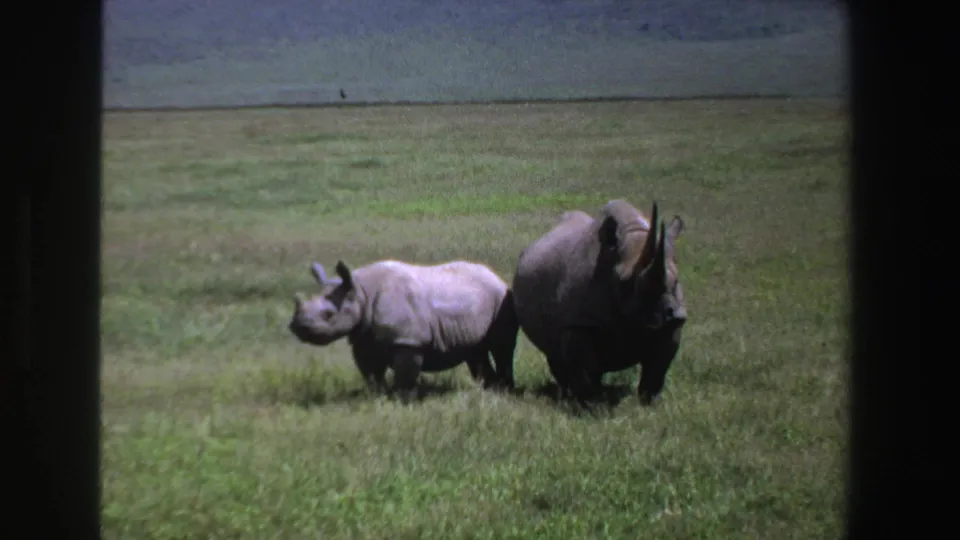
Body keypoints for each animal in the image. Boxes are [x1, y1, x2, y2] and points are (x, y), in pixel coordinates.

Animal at [288, 259, 518, 403]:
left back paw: (505, 391)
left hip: (501, 298)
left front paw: (403, 400)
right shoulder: (363, 338)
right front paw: (378, 396)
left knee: (502, 348)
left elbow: (405, 374)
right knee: (476, 352)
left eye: (328, 315)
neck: (360, 291)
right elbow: (370, 373)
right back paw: (489, 390)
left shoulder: (408, 340)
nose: (297, 327)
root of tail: (496, 276)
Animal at [511, 199, 687, 406]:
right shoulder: (578, 324)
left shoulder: (673, 325)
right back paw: (568, 394)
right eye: (624, 282)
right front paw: (590, 405)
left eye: (676, 281)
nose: (669, 316)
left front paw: (649, 404)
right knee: (557, 355)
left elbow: (657, 369)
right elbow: (585, 370)